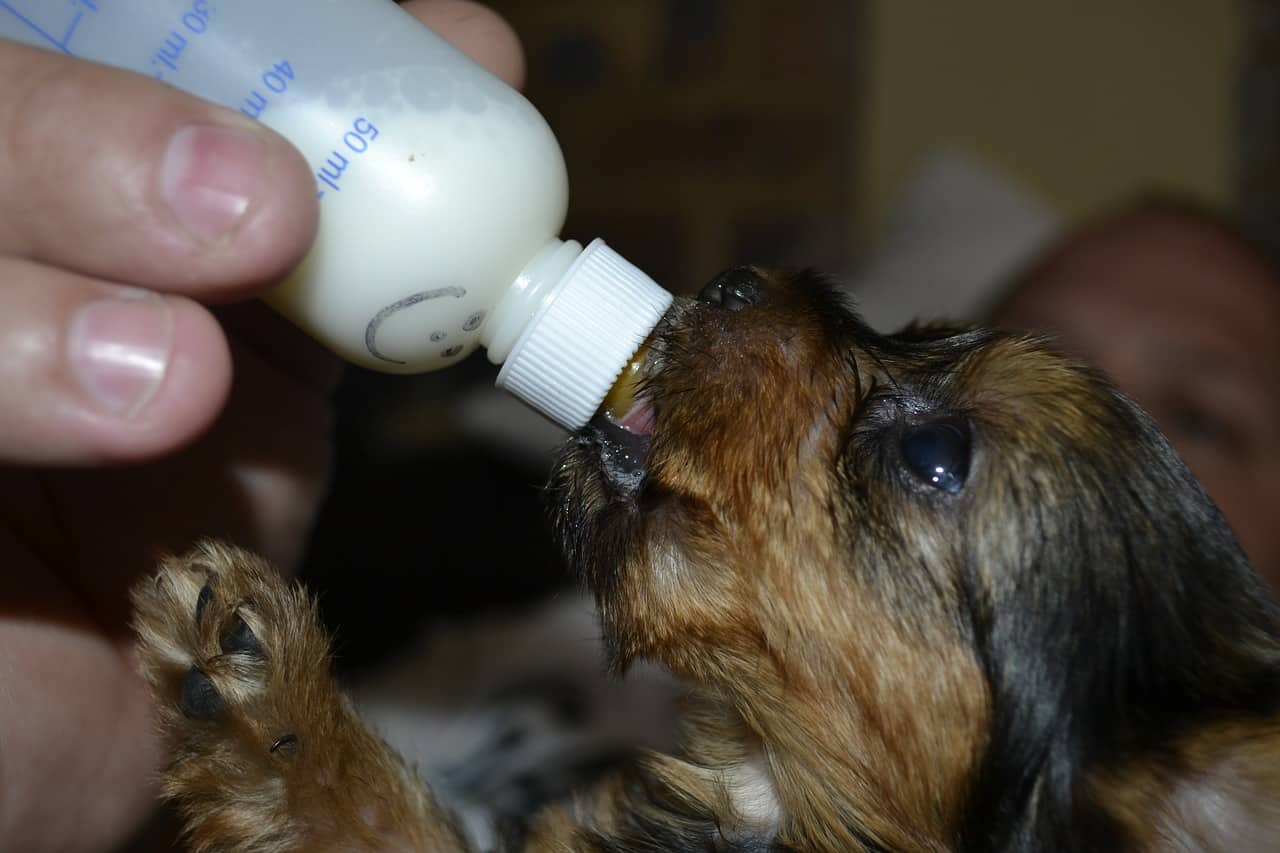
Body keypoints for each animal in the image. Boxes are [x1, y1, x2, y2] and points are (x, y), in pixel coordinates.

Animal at [129, 267, 1280, 850]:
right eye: (912, 330)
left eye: (935, 457)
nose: (734, 279)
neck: (769, 784)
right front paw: (276, 713)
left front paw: (266, 708)